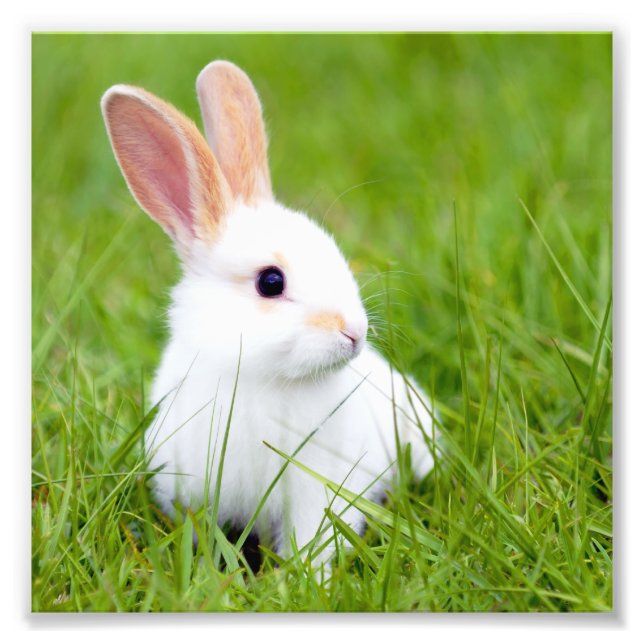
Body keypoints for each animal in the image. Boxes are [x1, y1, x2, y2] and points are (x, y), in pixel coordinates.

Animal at [101, 60, 436, 571]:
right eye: (271, 282)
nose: (354, 333)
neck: (259, 377)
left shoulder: (316, 487)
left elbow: (313, 538)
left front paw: (308, 578)